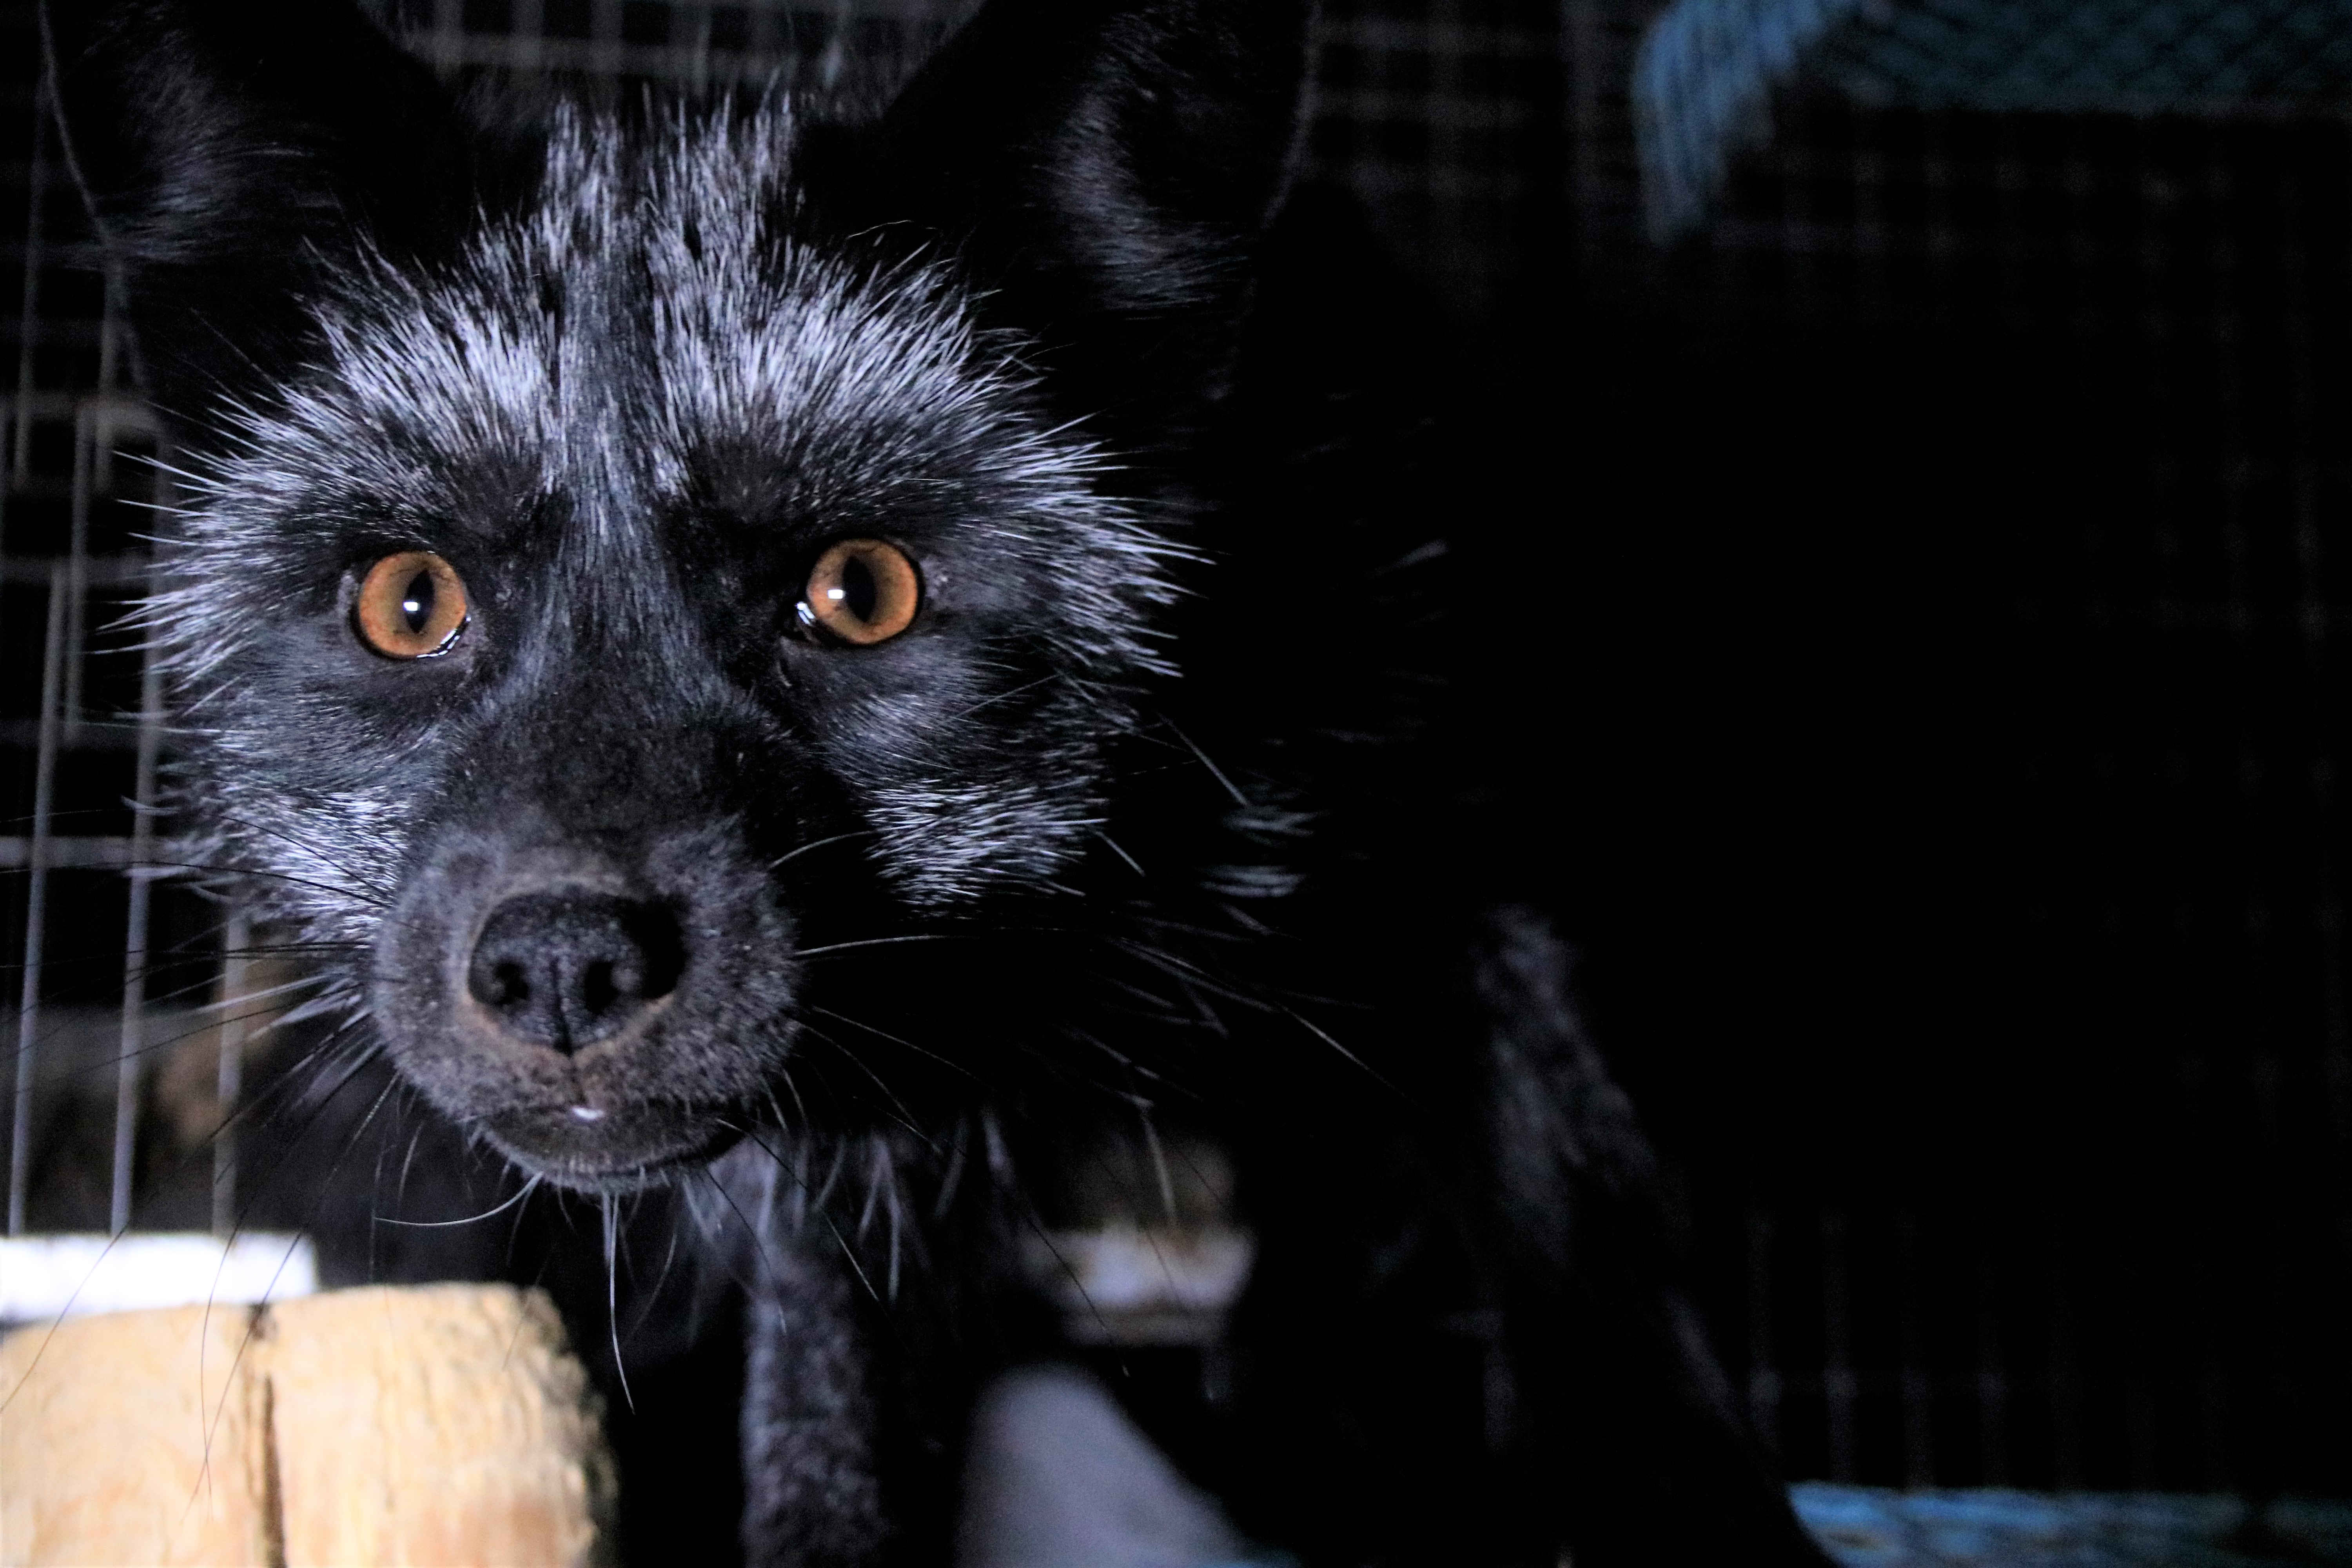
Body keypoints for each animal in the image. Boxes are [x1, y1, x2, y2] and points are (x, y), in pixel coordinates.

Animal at [41, 0, 1835, 1561]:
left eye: (864, 591)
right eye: (408, 603)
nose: (561, 963)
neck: (1106, 891)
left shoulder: (1462, 826)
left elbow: (1580, 1219)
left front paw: (1673, 1499)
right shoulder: (855, 1153)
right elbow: (832, 1433)